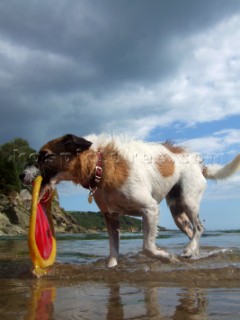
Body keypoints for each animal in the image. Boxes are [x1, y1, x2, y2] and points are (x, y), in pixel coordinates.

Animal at [20, 133, 240, 268]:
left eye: (45, 156)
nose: (21, 175)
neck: (101, 166)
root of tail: (198, 163)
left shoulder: (149, 209)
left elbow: (147, 247)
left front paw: (165, 256)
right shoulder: (111, 217)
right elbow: (113, 250)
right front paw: (112, 267)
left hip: (188, 200)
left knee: (199, 228)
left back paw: (188, 250)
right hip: (177, 211)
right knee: (192, 231)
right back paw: (192, 251)